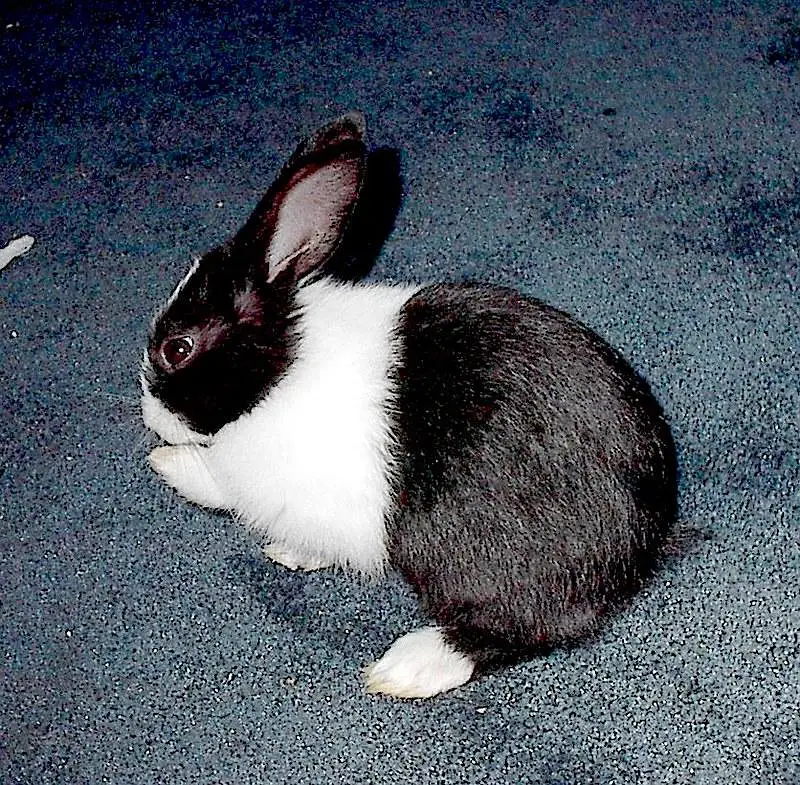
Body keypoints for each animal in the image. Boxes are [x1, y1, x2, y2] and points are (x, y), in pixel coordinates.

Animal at [142, 112, 678, 699]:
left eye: (178, 348)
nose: (149, 415)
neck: (281, 372)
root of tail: (638, 544)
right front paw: (290, 551)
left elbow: (218, 485)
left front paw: (167, 463)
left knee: (524, 626)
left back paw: (409, 666)